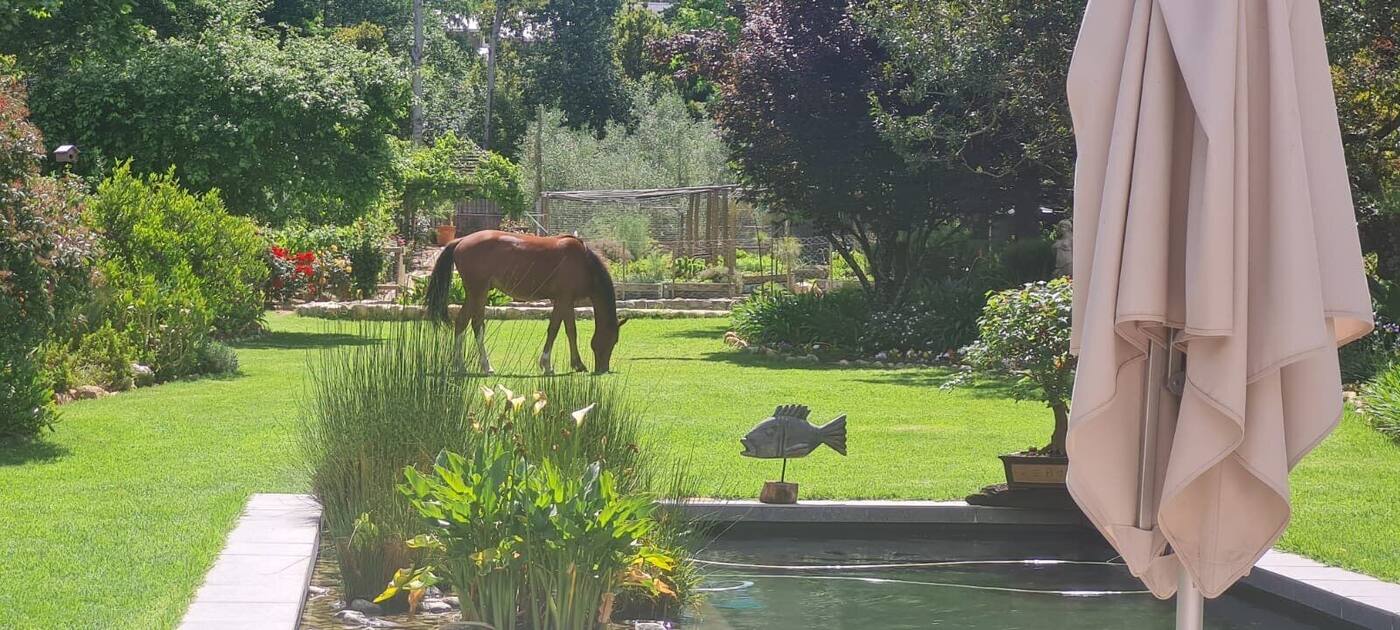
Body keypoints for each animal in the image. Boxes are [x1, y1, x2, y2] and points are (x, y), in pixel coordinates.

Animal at [424, 230, 627, 374]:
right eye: (613, 339)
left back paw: (461, 365)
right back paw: (483, 366)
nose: (603, 369)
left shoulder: (566, 302)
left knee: (463, 322)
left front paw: (576, 364)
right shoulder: (563, 300)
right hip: (478, 292)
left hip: (475, 294)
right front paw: (548, 365)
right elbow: (556, 330)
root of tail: (461, 241)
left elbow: (569, 330)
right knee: (475, 324)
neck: (584, 263)